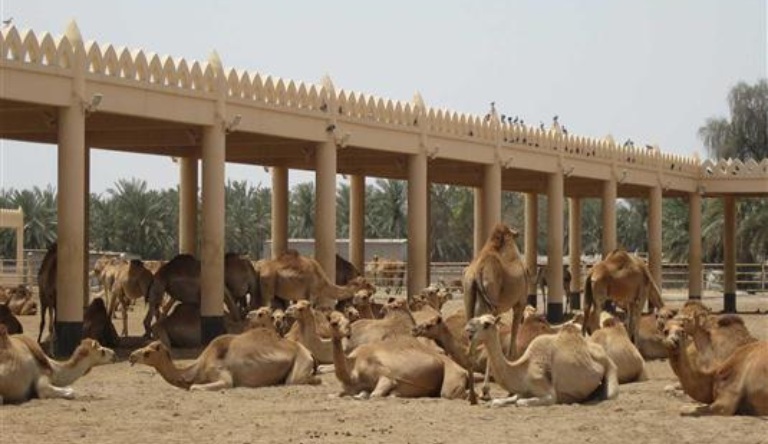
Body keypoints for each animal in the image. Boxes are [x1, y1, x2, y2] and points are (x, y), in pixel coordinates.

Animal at [129, 327, 321, 391]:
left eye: (147, 353)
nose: (131, 356)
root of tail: (310, 352)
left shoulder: (223, 376)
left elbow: (194, 387)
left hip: (301, 361)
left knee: (299, 380)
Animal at [328, 312, 468, 399]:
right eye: (333, 323)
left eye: (347, 322)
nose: (347, 332)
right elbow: (336, 395)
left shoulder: (385, 376)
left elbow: (375, 393)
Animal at [466, 314, 619, 407]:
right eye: (478, 317)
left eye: (486, 324)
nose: (468, 325)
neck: (522, 369)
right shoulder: (522, 390)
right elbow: (502, 400)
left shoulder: (549, 393)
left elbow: (520, 402)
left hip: (609, 366)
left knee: (610, 393)